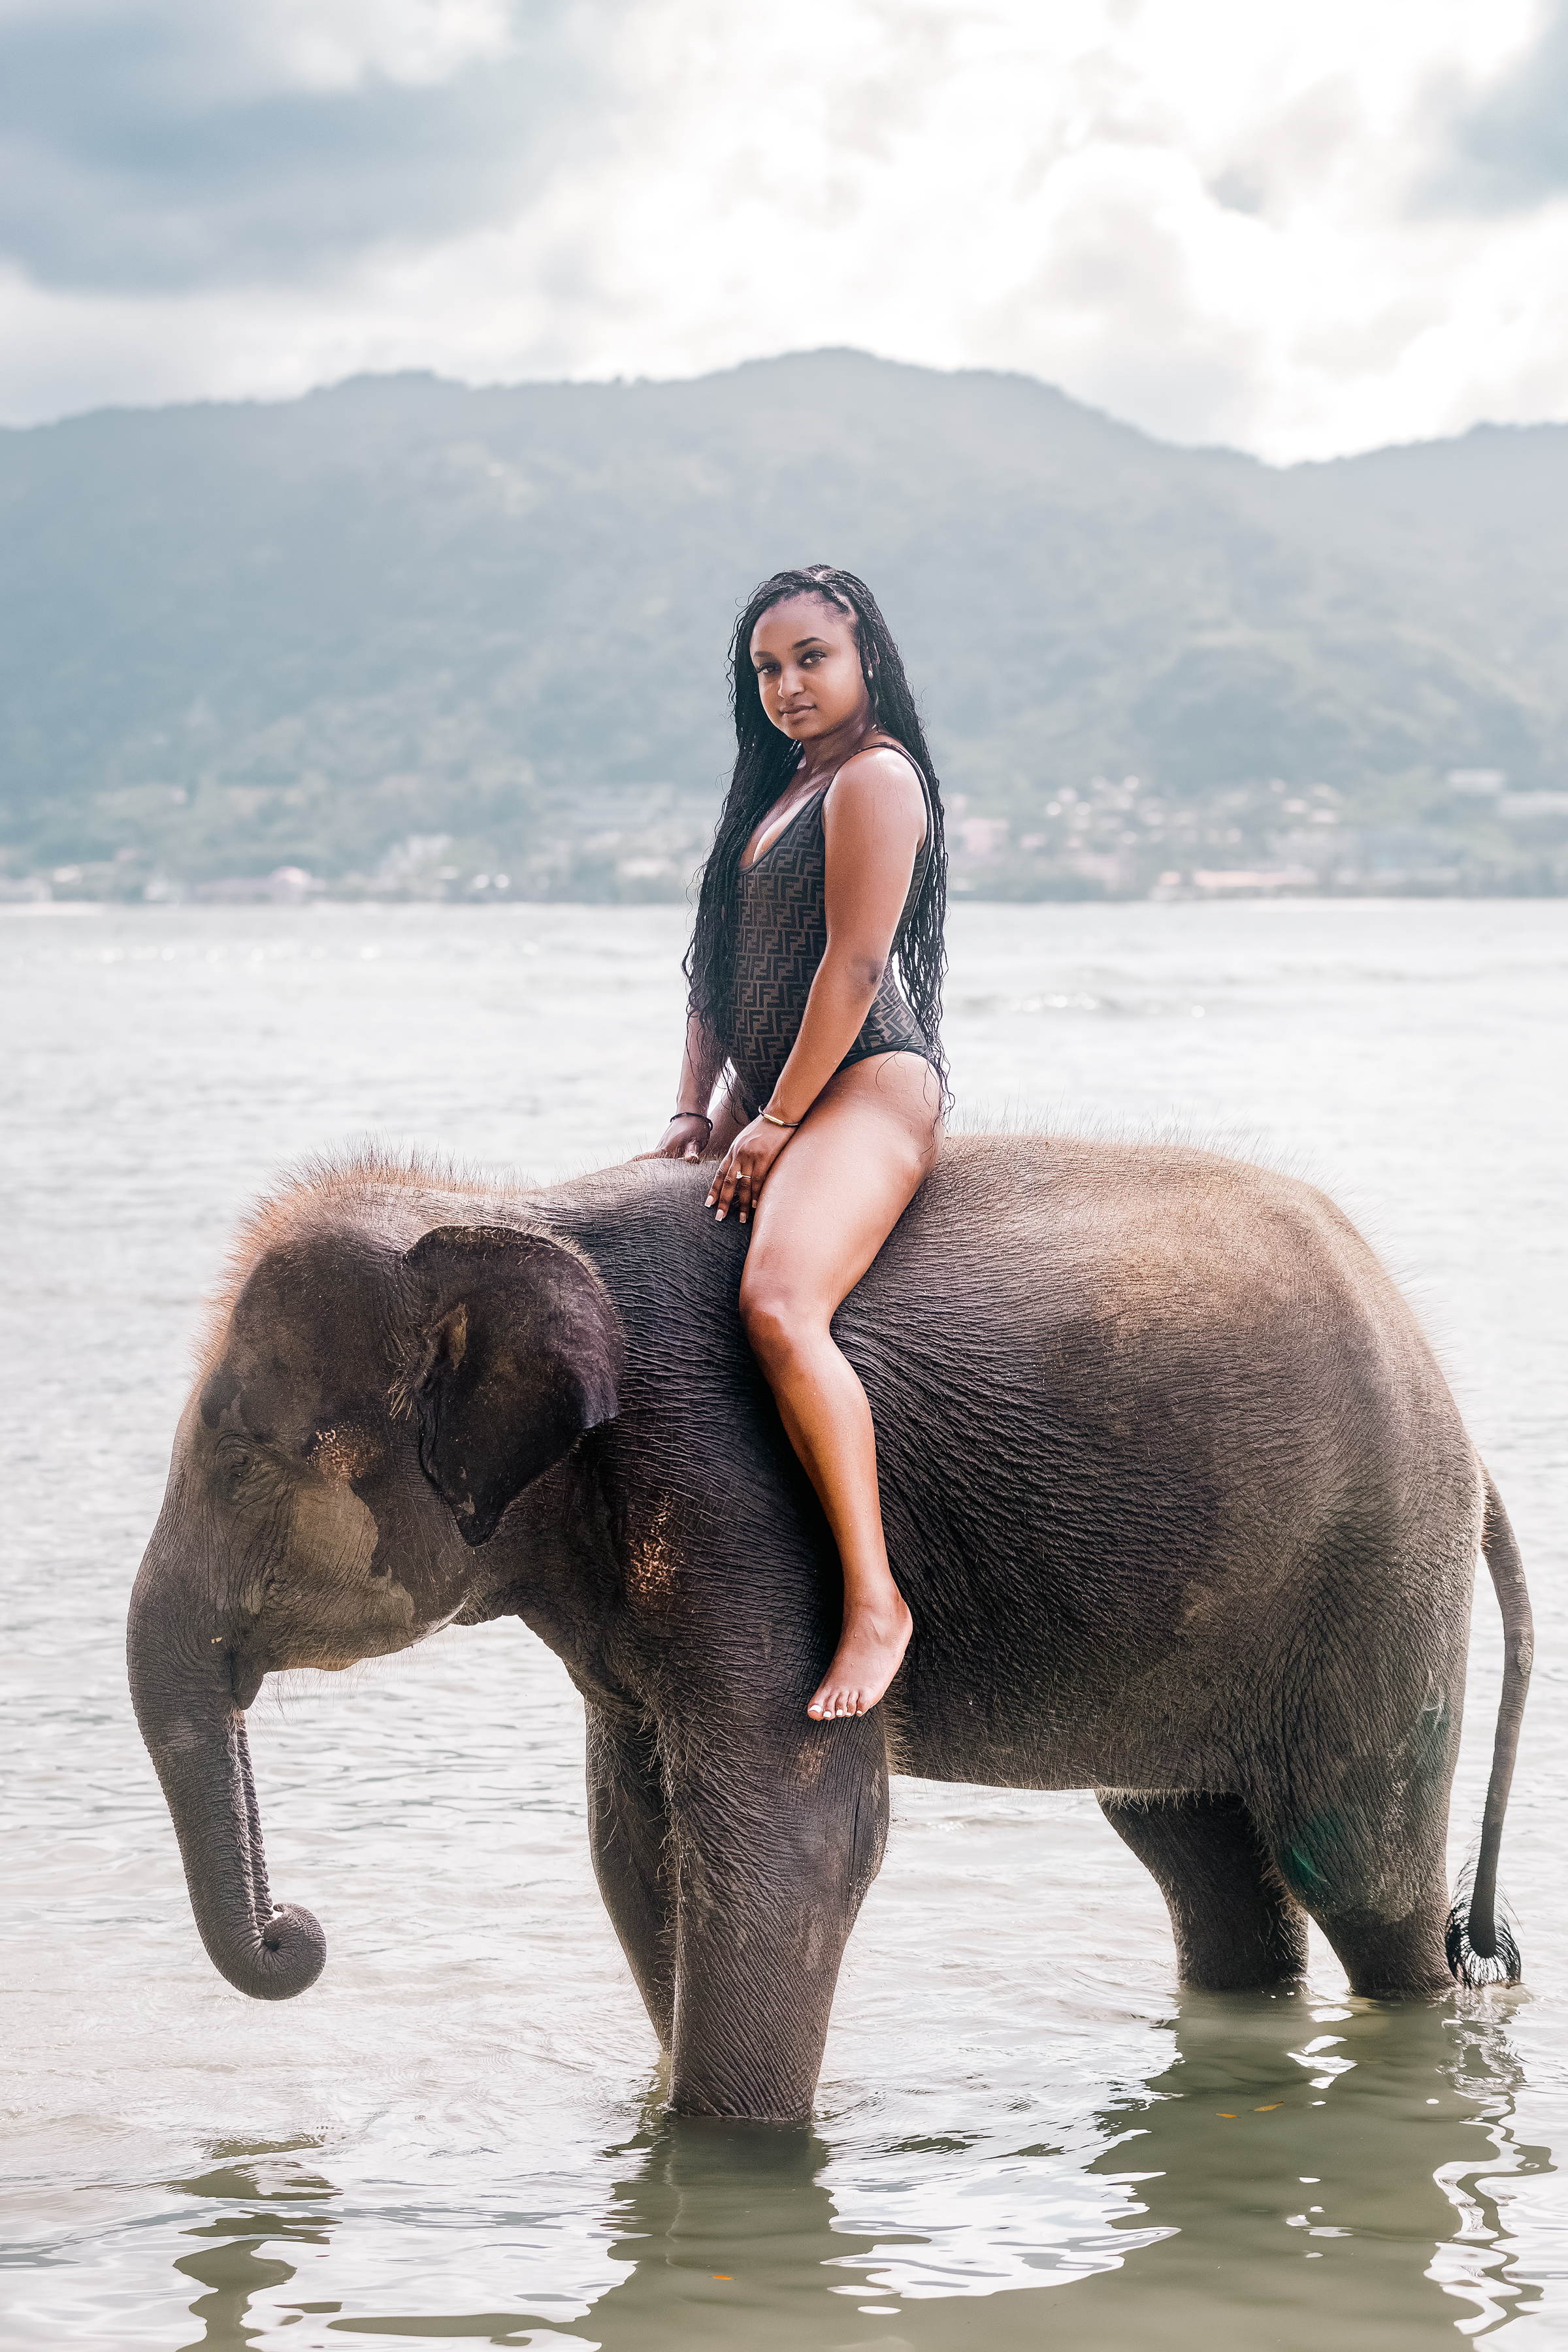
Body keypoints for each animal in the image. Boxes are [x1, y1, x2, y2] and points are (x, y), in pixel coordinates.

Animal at [127, 1137, 1532, 2122]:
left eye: (251, 1457)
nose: (299, 1933)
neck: (521, 1210)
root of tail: (1468, 1439)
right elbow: (636, 1844)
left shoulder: (746, 1498)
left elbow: (797, 1845)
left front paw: (729, 2157)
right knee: (1198, 1852)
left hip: (1375, 1581)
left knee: (1357, 1867)